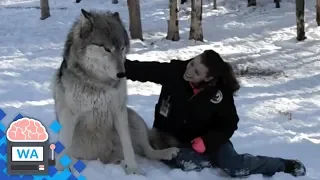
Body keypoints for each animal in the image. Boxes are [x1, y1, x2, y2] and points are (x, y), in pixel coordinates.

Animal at [51, 8, 179, 176]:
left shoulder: (119, 111)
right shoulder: (69, 115)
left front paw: (134, 170)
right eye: (106, 49)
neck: (99, 83)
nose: (122, 74)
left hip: (134, 117)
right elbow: (63, 147)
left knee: (147, 151)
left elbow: (128, 146)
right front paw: (61, 172)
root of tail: (103, 159)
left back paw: (162, 154)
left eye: (122, 48)